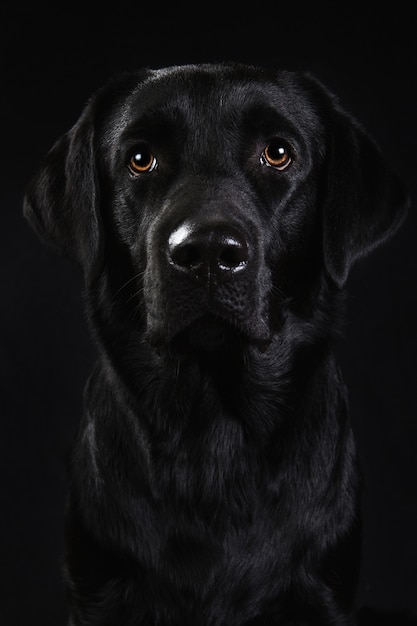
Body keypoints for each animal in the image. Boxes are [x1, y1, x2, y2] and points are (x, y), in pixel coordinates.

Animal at [24, 63, 408, 624]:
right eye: (140, 159)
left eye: (278, 152)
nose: (205, 252)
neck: (215, 433)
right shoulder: (99, 593)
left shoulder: (322, 593)